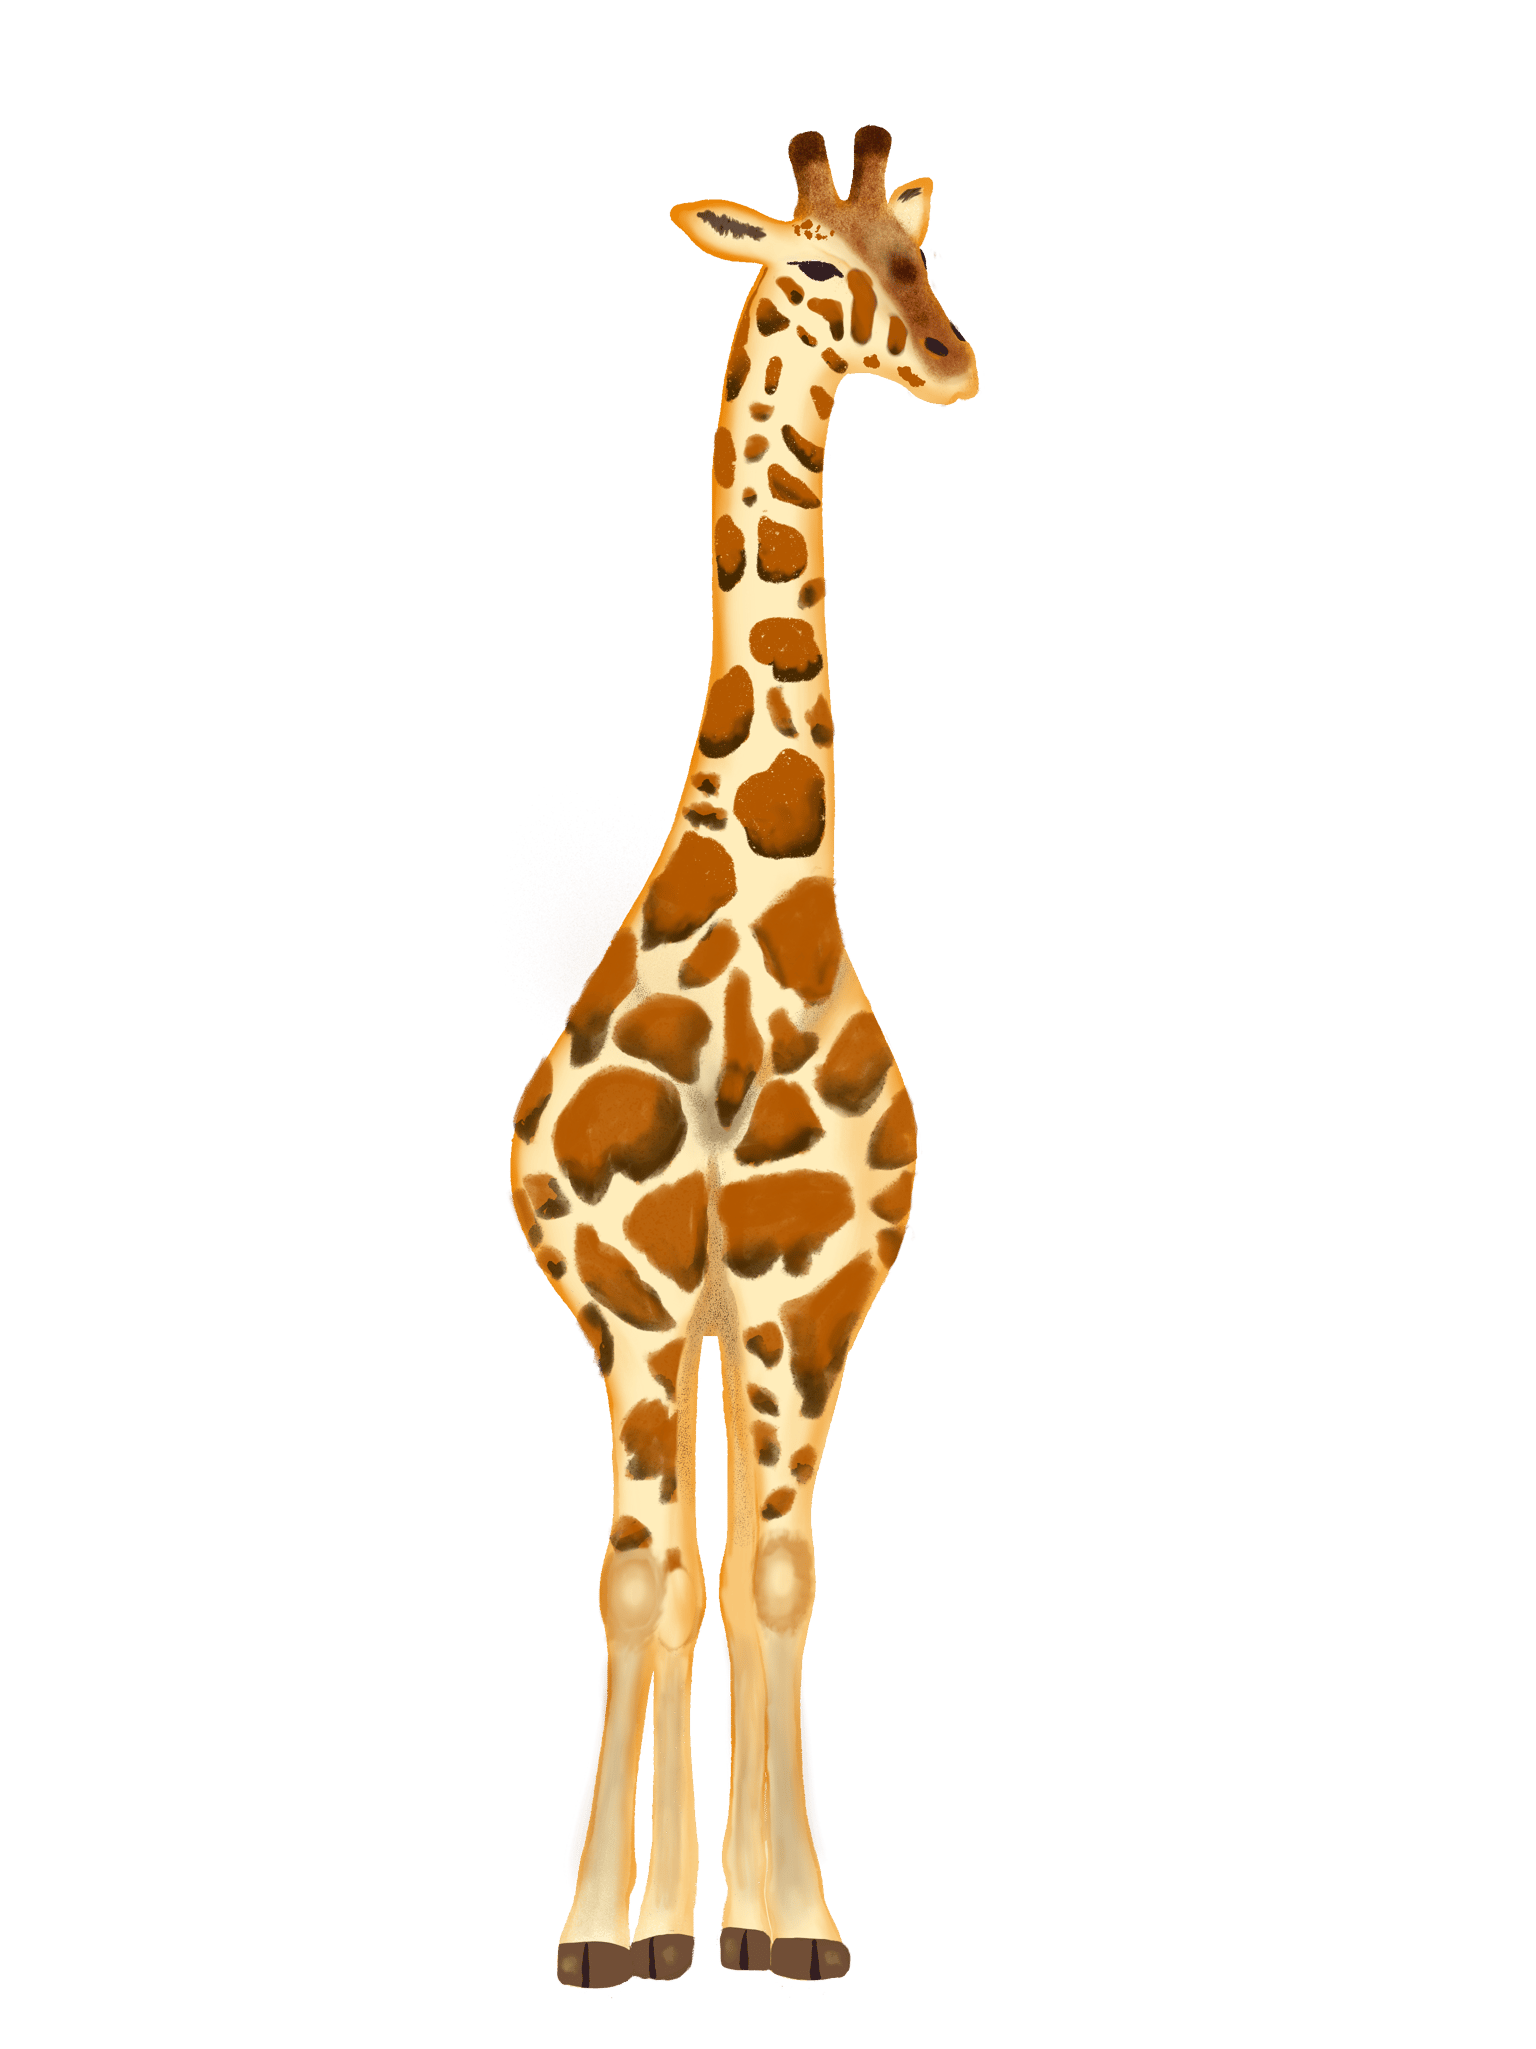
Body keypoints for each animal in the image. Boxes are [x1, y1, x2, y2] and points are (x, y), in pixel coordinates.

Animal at [508, 125, 979, 1991]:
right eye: (808, 263)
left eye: (917, 249)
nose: (948, 359)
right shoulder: (641, 1290)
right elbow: (644, 1583)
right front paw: (598, 1927)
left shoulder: (813, 1295)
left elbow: (779, 1580)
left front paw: (796, 1918)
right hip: (652, 1323)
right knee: (661, 1568)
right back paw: (641, 1913)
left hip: (733, 1328)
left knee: (725, 1566)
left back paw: (712, 1902)